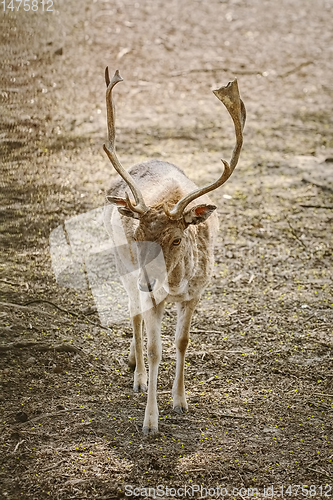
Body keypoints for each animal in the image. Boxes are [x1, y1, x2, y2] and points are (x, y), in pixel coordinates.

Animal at [102, 67, 245, 434]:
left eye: (177, 239)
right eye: (138, 236)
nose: (150, 282)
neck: (176, 281)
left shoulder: (196, 292)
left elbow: (182, 343)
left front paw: (180, 401)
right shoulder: (150, 293)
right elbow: (156, 349)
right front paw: (150, 421)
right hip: (123, 267)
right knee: (133, 312)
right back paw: (138, 374)